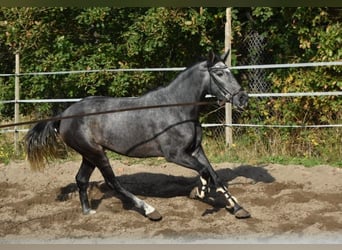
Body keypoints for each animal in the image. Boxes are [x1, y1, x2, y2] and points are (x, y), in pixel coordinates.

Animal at [23, 50, 248, 221]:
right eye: (219, 73)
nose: (243, 98)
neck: (177, 109)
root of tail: (64, 115)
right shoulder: (175, 155)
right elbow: (204, 172)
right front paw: (200, 192)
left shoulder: (195, 150)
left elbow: (214, 175)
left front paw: (238, 209)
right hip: (96, 153)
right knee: (113, 183)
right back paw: (150, 211)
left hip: (89, 154)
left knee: (81, 179)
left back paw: (88, 211)